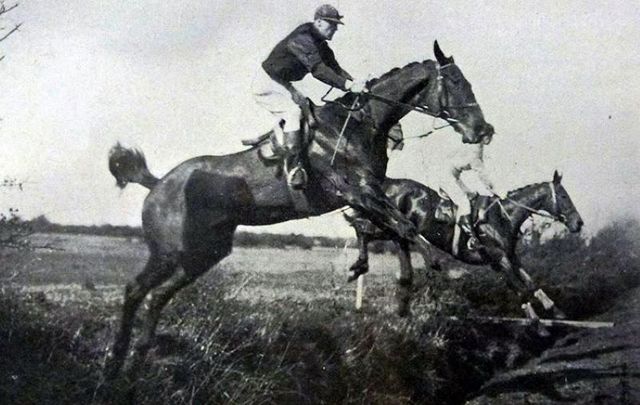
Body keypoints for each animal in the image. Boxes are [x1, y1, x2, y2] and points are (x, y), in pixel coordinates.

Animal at [106, 41, 496, 378]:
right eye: (457, 83)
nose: (482, 131)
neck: (358, 125)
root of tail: (158, 183)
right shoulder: (358, 191)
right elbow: (405, 228)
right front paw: (438, 267)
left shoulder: (366, 196)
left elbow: (395, 230)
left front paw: (396, 292)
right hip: (172, 250)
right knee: (135, 289)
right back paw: (119, 357)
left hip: (205, 252)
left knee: (155, 296)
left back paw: (133, 356)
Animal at [344, 170, 584, 316]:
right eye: (564, 197)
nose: (579, 223)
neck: (503, 217)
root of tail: (389, 183)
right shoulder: (501, 259)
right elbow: (520, 289)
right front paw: (537, 322)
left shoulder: (508, 259)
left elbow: (530, 283)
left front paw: (554, 309)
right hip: (390, 224)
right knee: (361, 229)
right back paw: (358, 266)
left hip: (395, 231)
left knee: (365, 231)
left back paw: (360, 268)